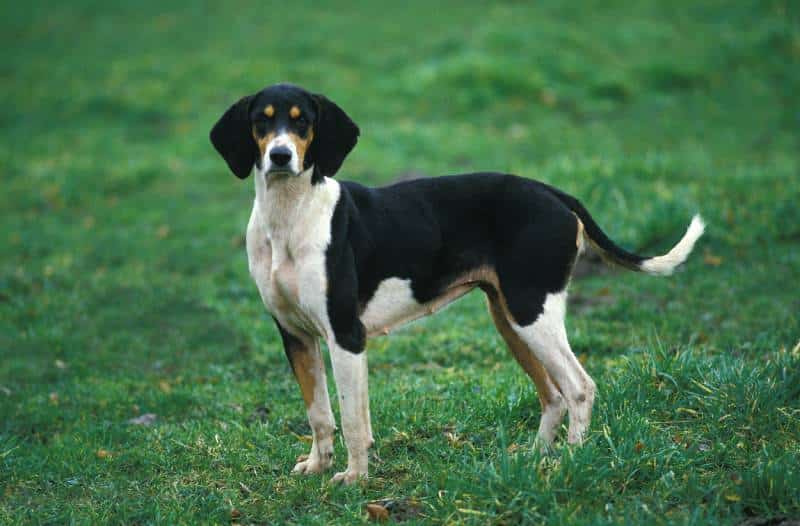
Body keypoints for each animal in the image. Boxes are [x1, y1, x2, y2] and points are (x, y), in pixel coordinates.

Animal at [209, 83, 704, 486]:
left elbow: (352, 419)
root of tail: (553, 193)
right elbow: (318, 414)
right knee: (553, 396)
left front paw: (355, 479)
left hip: (532, 313)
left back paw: (569, 462)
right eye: (261, 120)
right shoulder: (296, 336)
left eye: (303, 122)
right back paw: (533, 458)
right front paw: (316, 467)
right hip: (510, 320)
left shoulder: (346, 336)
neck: (291, 218)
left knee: (579, 388)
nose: (280, 156)